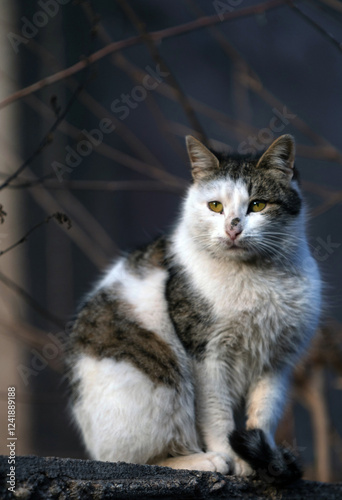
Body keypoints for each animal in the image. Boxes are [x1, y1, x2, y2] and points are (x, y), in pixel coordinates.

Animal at [66, 133, 320, 480]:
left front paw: (263, 458)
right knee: (133, 458)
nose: (233, 227)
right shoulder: (206, 354)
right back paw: (204, 461)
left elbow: (263, 415)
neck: (256, 276)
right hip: (156, 386)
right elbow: (217, 415)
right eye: (215, 206)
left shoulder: (277, 361)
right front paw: (235, 460)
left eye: (257, 205)